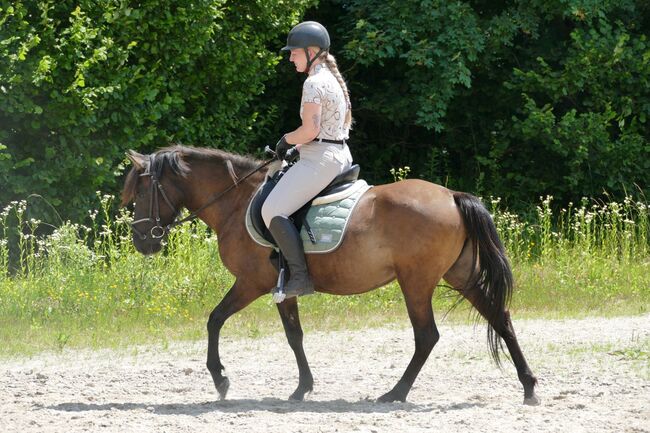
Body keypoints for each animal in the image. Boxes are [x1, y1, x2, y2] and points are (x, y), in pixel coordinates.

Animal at [120, 143, 536, 404]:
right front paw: (302, 388)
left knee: (427, 336)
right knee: (501, 318)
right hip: (460, 275)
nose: (142, 241)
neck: (237, 202)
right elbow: (295, 336)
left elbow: (215, 320)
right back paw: (529, 386)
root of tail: (452, 195)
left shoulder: (252, 283)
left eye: (140, 191)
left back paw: (395, 393)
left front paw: (221, 378)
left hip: (416, 283)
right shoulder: (282, 288)